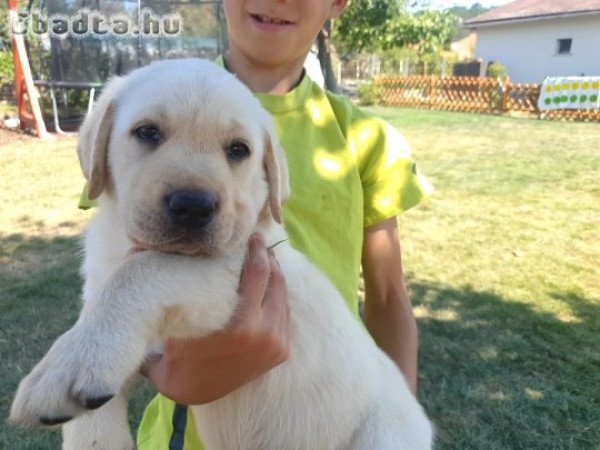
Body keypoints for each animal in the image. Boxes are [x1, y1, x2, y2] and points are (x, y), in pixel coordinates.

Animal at [8, 60, 432, 450]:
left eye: (238, 150)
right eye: (147, 132)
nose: (193, 206)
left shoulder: (234, 273)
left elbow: (143, 271)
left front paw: (68, 367)